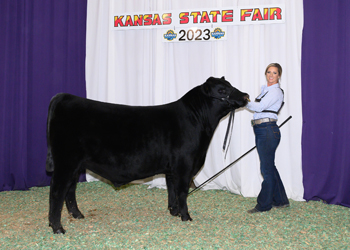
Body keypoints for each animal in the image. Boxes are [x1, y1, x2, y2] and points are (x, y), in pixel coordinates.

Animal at [45, 76, 249, 234]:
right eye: (222, 90)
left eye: (230, 85)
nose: (246, 95)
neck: (197, 121)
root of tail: (63, 97)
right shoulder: (184, 166)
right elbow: (182, 191)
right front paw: (186, 216)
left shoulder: (171, 168)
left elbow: (171, 190)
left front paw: (174, 212)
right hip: (66, 162)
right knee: (57, 191)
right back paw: (57, 228)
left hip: (75, 165)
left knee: (70, 190)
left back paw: (77, 215)